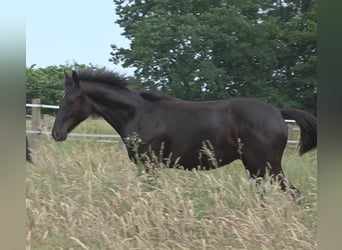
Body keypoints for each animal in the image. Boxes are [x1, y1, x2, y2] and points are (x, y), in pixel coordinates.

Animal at [52, 70, 316, 195]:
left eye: (71, 100)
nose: (56, 133)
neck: (140, 113)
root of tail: (278, 112)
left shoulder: (150, 164)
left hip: (266, 166)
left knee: (294, 194)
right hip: (257, 169)